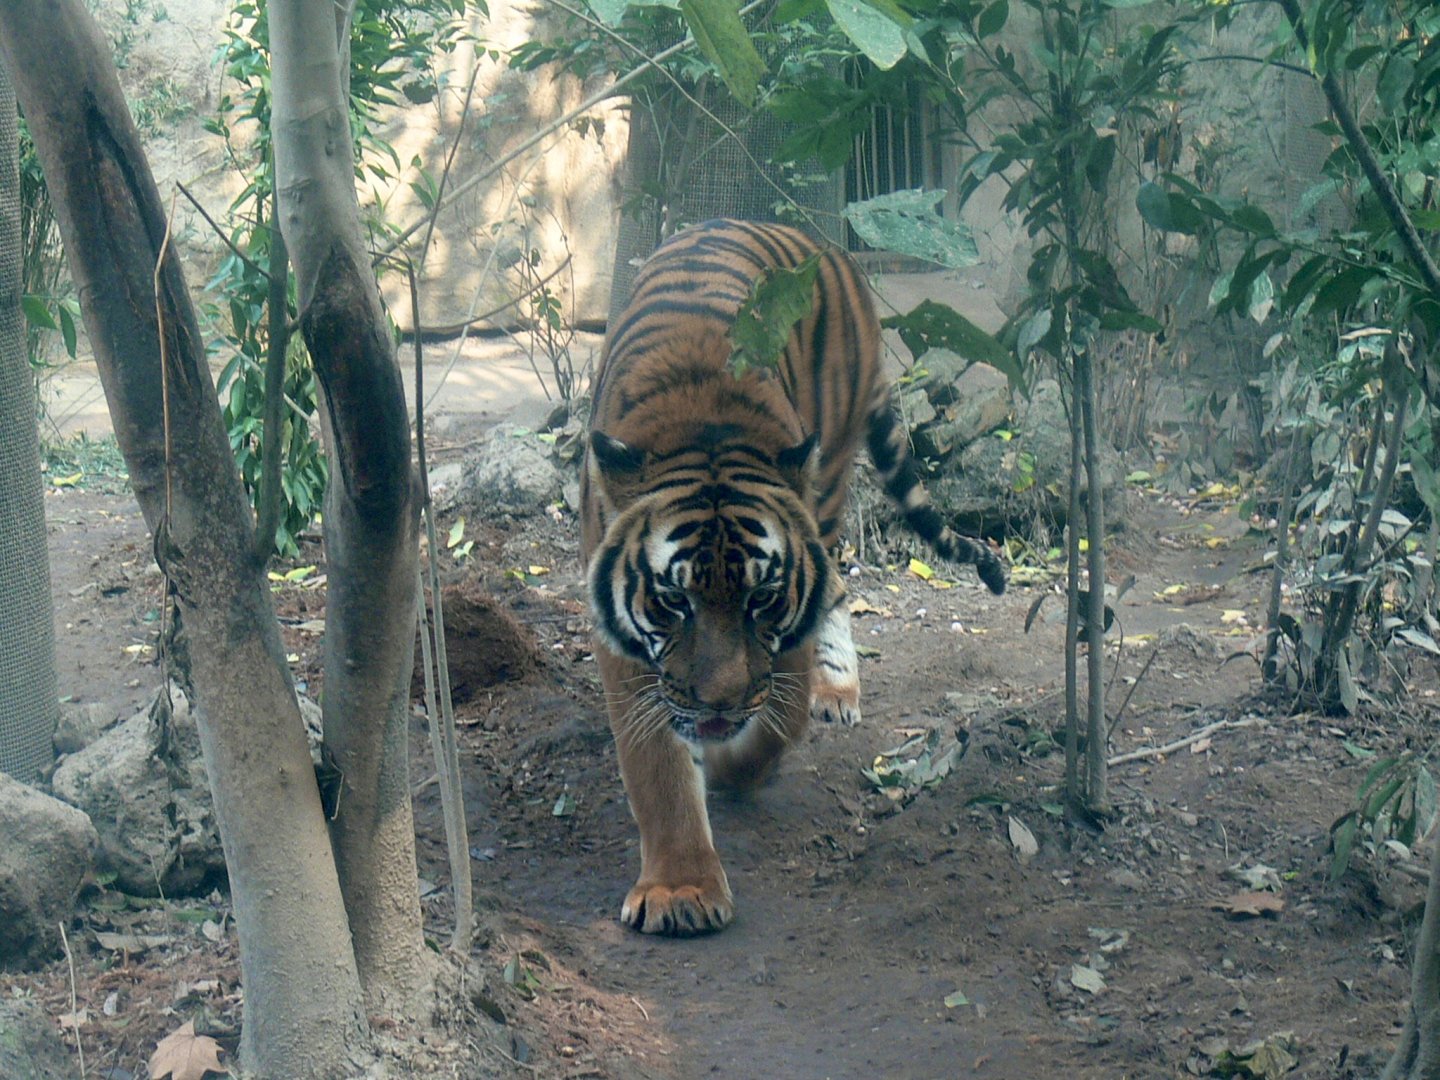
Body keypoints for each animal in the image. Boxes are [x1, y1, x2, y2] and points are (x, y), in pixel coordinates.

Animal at [582, 219, 1006, 936]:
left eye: (761, 597)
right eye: (673, 600)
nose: (719, 706)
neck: (698, 421)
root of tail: (818, 241)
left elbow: (778, 716)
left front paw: (733, 765)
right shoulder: (628, 645)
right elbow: (656, 767)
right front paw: (680, 890)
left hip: (828, 478)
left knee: (836, 588)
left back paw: (834, 692)